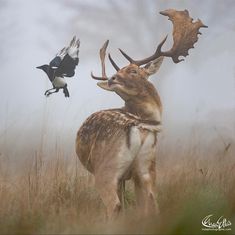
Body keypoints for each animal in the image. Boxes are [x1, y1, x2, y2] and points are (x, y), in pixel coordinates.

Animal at [76, 9, 207, 218]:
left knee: (115, 205)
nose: (112, 79)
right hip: (147, 166)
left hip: (106, 169)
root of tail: (138, 127)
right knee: (152, 201)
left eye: (133, 71)